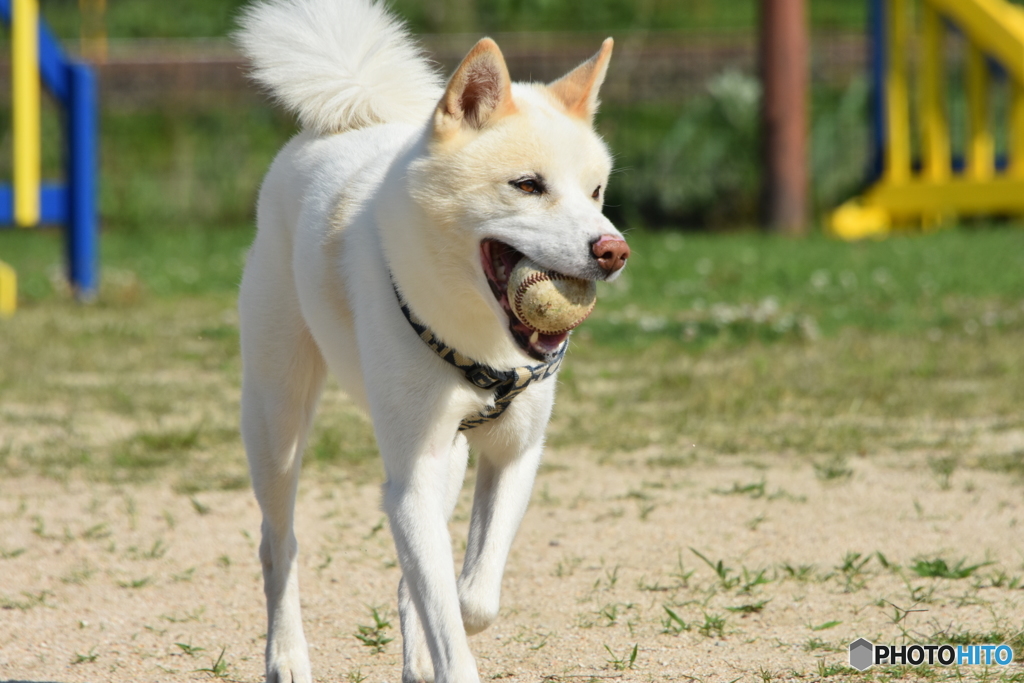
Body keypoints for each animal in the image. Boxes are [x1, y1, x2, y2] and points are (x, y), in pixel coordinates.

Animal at [234, 2, 626, 679]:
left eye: (596, 191)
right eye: (527, 185)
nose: (614, 251)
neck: (480, 339)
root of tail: (351, 118)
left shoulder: (513, 455)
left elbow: (470, 597)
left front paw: (435, 627)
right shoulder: (411, 478)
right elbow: (442, 601)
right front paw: (442, 642)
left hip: (448, 454)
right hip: (276, 423)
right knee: (277, 545)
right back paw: (286, 657)